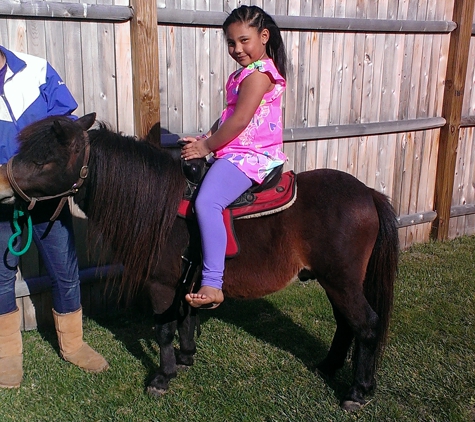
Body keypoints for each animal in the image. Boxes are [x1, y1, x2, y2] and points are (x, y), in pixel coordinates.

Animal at [0, 113, 400, 412]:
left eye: (43, 160)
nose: (3, 184)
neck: (160, 203)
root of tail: (368, 193)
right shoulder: (187, 278)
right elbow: (186, 318)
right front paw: (187, 355)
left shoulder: (160, 283)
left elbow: (163, 328)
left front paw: (163, 376)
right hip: (334, 281)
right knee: (346, 324)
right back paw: (329, 366)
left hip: (341, 281)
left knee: (366, 325)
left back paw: (358, 391)